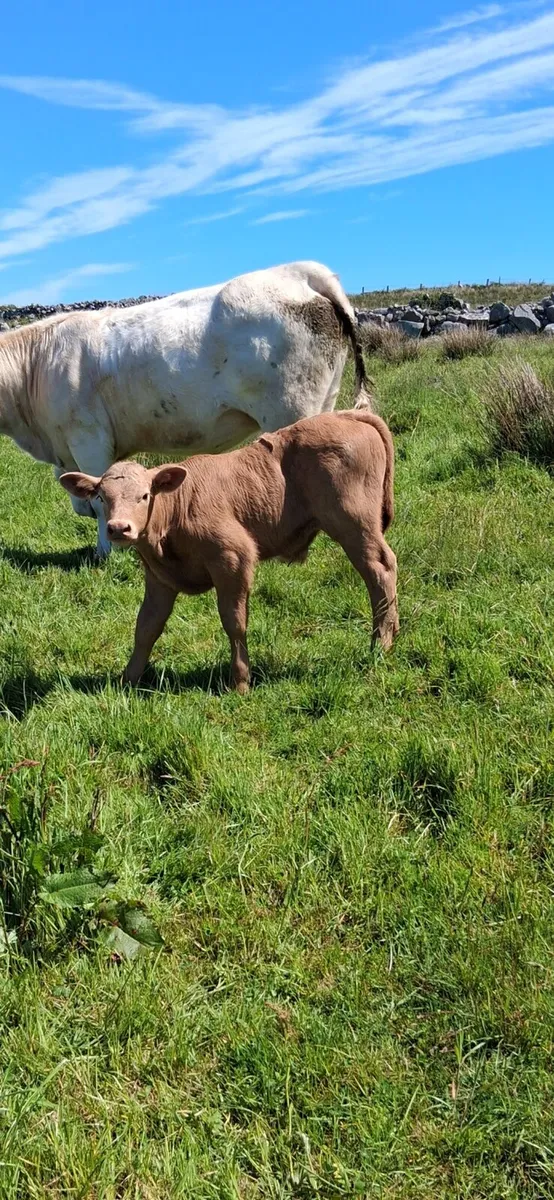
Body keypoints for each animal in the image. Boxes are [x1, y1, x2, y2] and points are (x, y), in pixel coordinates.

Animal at [59, 409, 398, 692]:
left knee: (380, 569)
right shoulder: (160, 577)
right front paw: (128, 679)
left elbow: (234, 621)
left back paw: (381, 643)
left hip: (353, 522)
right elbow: (146, 626)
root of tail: (348, 414)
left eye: (144, 496)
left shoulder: (233, 558)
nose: (118, 528)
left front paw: (240, 681)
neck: (176, 511)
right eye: (102, 497)